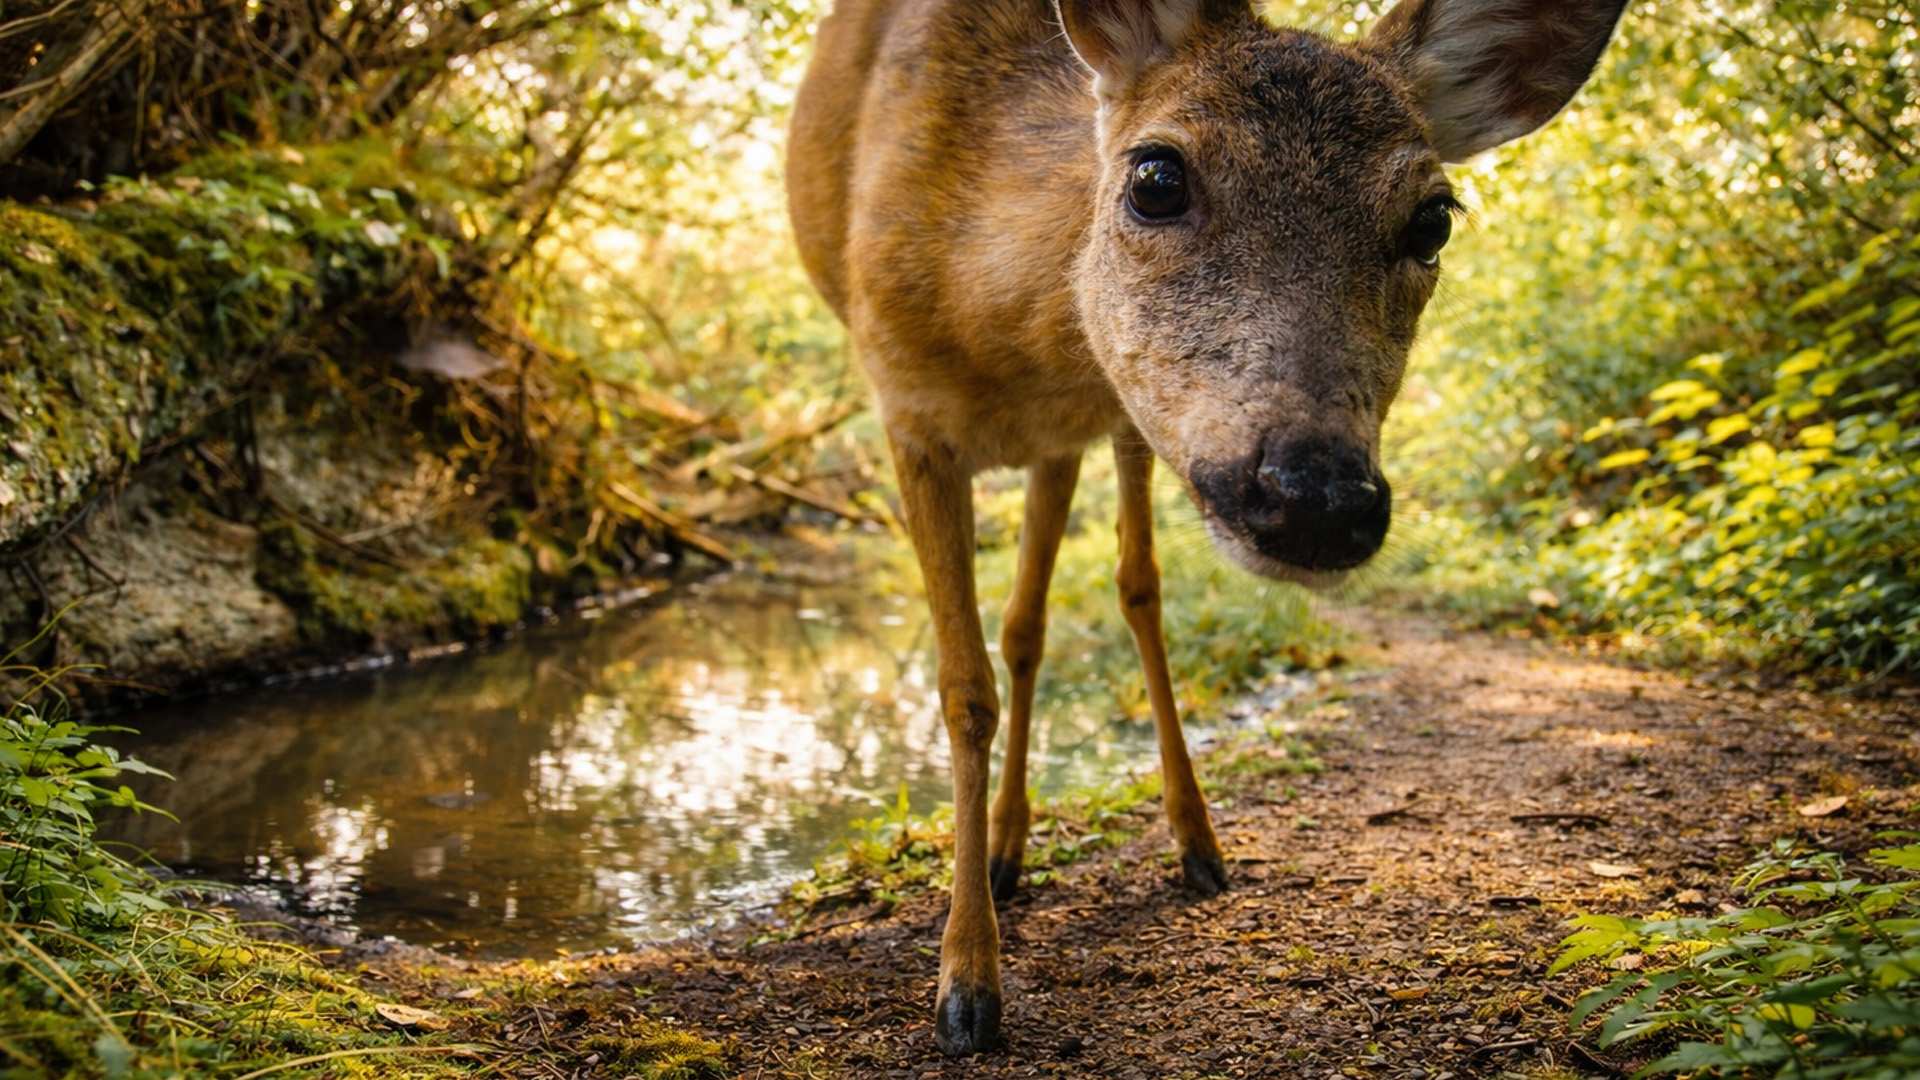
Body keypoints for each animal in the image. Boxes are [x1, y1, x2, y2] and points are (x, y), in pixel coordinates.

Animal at [787, 0, 1626, 1056]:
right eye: (1156, 177)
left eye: (1432, 219)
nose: (1317, 497)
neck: (1003, 323)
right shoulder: (907, 409)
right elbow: (961, 687)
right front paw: (967, 984)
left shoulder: (1110, 413)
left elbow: (1136, 596)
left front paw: (1191, 844)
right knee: (1020, 632)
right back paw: (1006, 859)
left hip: (1091, 440)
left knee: (1049, 618)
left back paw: (1082, 841)